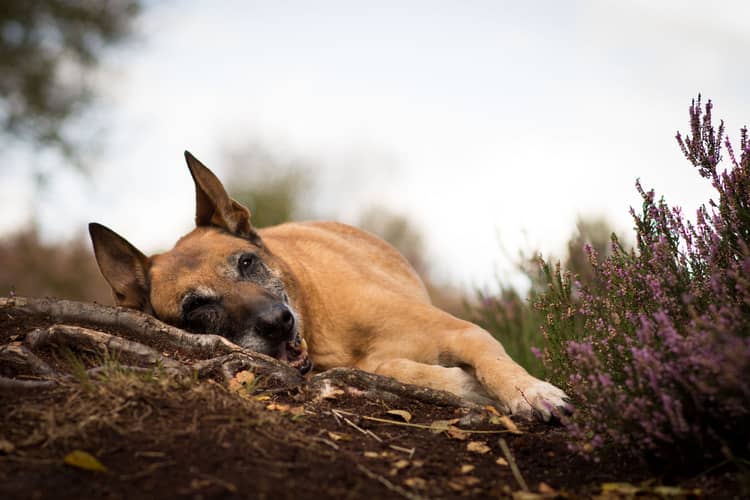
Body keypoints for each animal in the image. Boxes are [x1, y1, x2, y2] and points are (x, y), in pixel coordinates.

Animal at [89, 151, 568, 418]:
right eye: (196, 307)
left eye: (246, 262)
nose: (278, 322)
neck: (324, 332)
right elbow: (393, 368)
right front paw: (463, 385)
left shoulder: (462, 330)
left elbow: (493, 360)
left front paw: (531, 392)